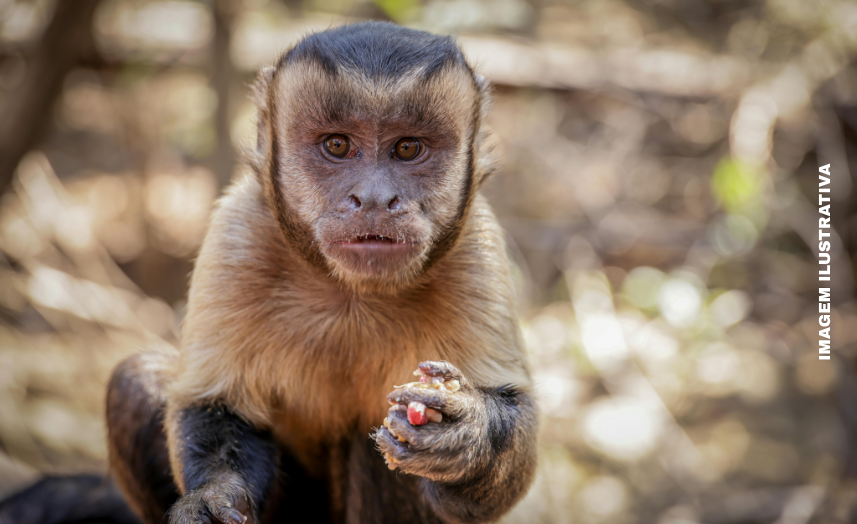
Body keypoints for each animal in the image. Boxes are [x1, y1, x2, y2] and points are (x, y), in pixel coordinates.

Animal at [104, 21, 538, 524]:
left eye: (408, 148)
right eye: (337, 145)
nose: (374, 198)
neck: (350, 290)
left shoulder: (475, 248)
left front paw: (466, 436)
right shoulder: (239, 232)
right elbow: (215, 405)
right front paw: (212, 498)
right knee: (133, 382)